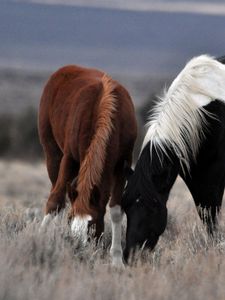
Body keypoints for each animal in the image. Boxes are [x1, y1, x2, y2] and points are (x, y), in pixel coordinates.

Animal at [38, 65, 137, 264]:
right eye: (70, 220)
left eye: (92, 224)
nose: (78, 251)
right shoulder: (69, 158)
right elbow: (55, 199)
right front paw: (40, 239)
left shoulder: (122, 164)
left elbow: (116, 209)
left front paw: (116, 259)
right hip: (52, 155)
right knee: (57, 193)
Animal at [122, 55, 225, 262]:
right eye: (125, 206)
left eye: (153, 206)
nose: (132, 255)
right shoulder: (196, 176)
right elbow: (206, 215)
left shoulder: (216, 174)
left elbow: (211, 214)